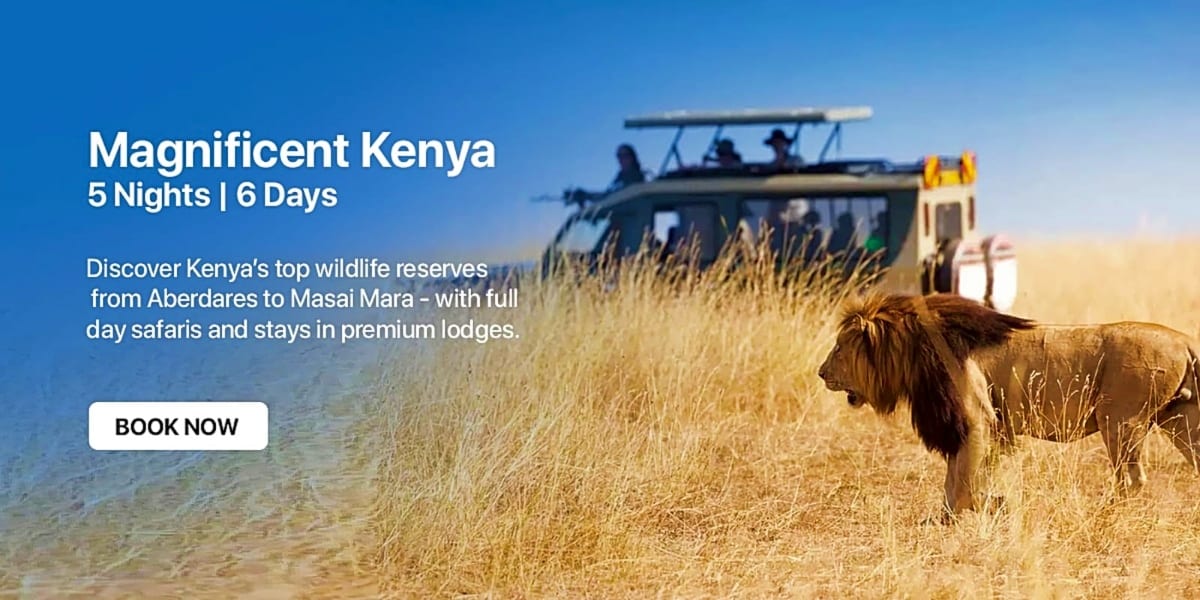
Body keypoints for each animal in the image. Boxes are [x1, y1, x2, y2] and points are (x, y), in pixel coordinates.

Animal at [817, 292, 1200, 519]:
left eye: (838, 348)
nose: (821, 373)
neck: (913, 349)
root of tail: (1184, 339)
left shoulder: (977, 420)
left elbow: (963, 480)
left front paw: (983, 507)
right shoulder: (971, 427)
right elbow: (955, 477)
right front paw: (948, 516)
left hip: (1119, 420)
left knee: (1132, 478)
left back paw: (1102, 512)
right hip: (1181, 420)